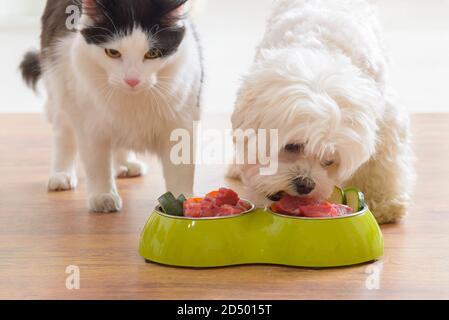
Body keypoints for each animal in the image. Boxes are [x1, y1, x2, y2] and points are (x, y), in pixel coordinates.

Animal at [20, 1, 203, 214]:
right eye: (113, 53)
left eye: (152, 54)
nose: (132, 80)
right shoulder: (89, 122)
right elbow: (97, 164)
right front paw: (103, 196)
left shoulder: (182, 119)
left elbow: (180, 171)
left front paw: (186, 203)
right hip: (61, 89)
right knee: (63, 135)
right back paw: (61, 174)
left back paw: (126, 164)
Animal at [231, 0, 412, 224]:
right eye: (292, 146)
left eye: (330, 161)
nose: (306, 185)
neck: (323, 52)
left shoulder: (386, 117)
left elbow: (381, 163)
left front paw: (384, 203)